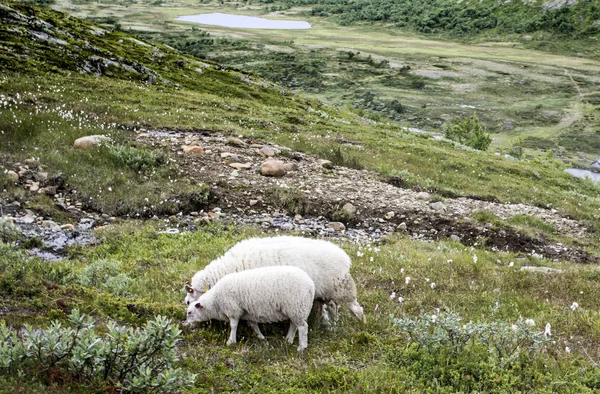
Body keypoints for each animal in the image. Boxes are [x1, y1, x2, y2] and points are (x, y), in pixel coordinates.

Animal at [184, 235, 366, 324]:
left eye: (188, 302)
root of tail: (345, 258)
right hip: (326, 292)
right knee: (333, 307)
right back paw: (332, 325)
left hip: (341, 288)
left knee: (357, 309)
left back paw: (360, 324)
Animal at [184, 264, 314, 350]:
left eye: (189, 312)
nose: (185, 325)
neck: (215, 301)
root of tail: (310, 284)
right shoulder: (249, 313)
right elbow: (254, 325)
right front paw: (261, 337)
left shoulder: (233, 310)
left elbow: (233, 326)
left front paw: (231, 341)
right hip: (295, 310)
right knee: (294, 325)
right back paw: (289, 340)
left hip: (297, 306)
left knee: (303, 327)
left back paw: (301, 347)